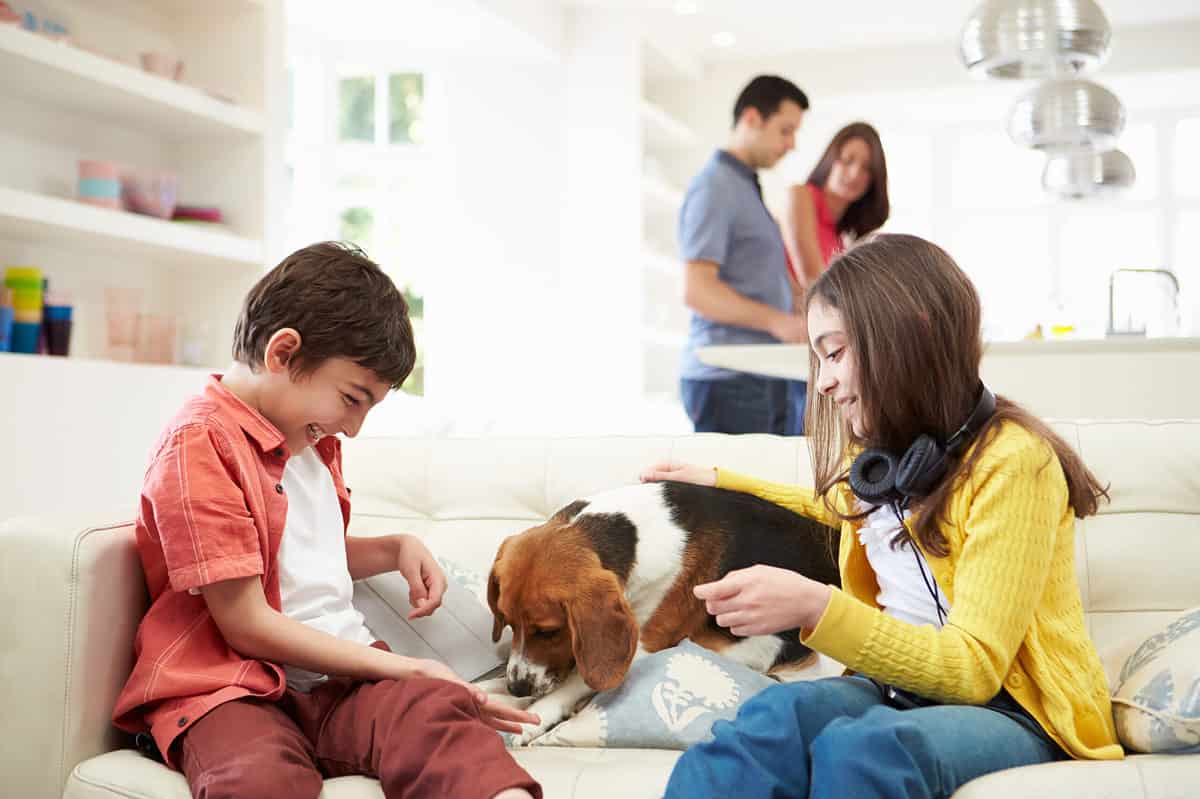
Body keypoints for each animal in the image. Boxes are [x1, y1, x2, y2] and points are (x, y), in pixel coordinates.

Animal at [482, 475, 840, 739]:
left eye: (549, 631)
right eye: (508, 622)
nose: (517, 688)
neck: (636, 536)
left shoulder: (642, 645)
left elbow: (577, 680)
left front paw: (537, 714)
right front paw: (488, 688)